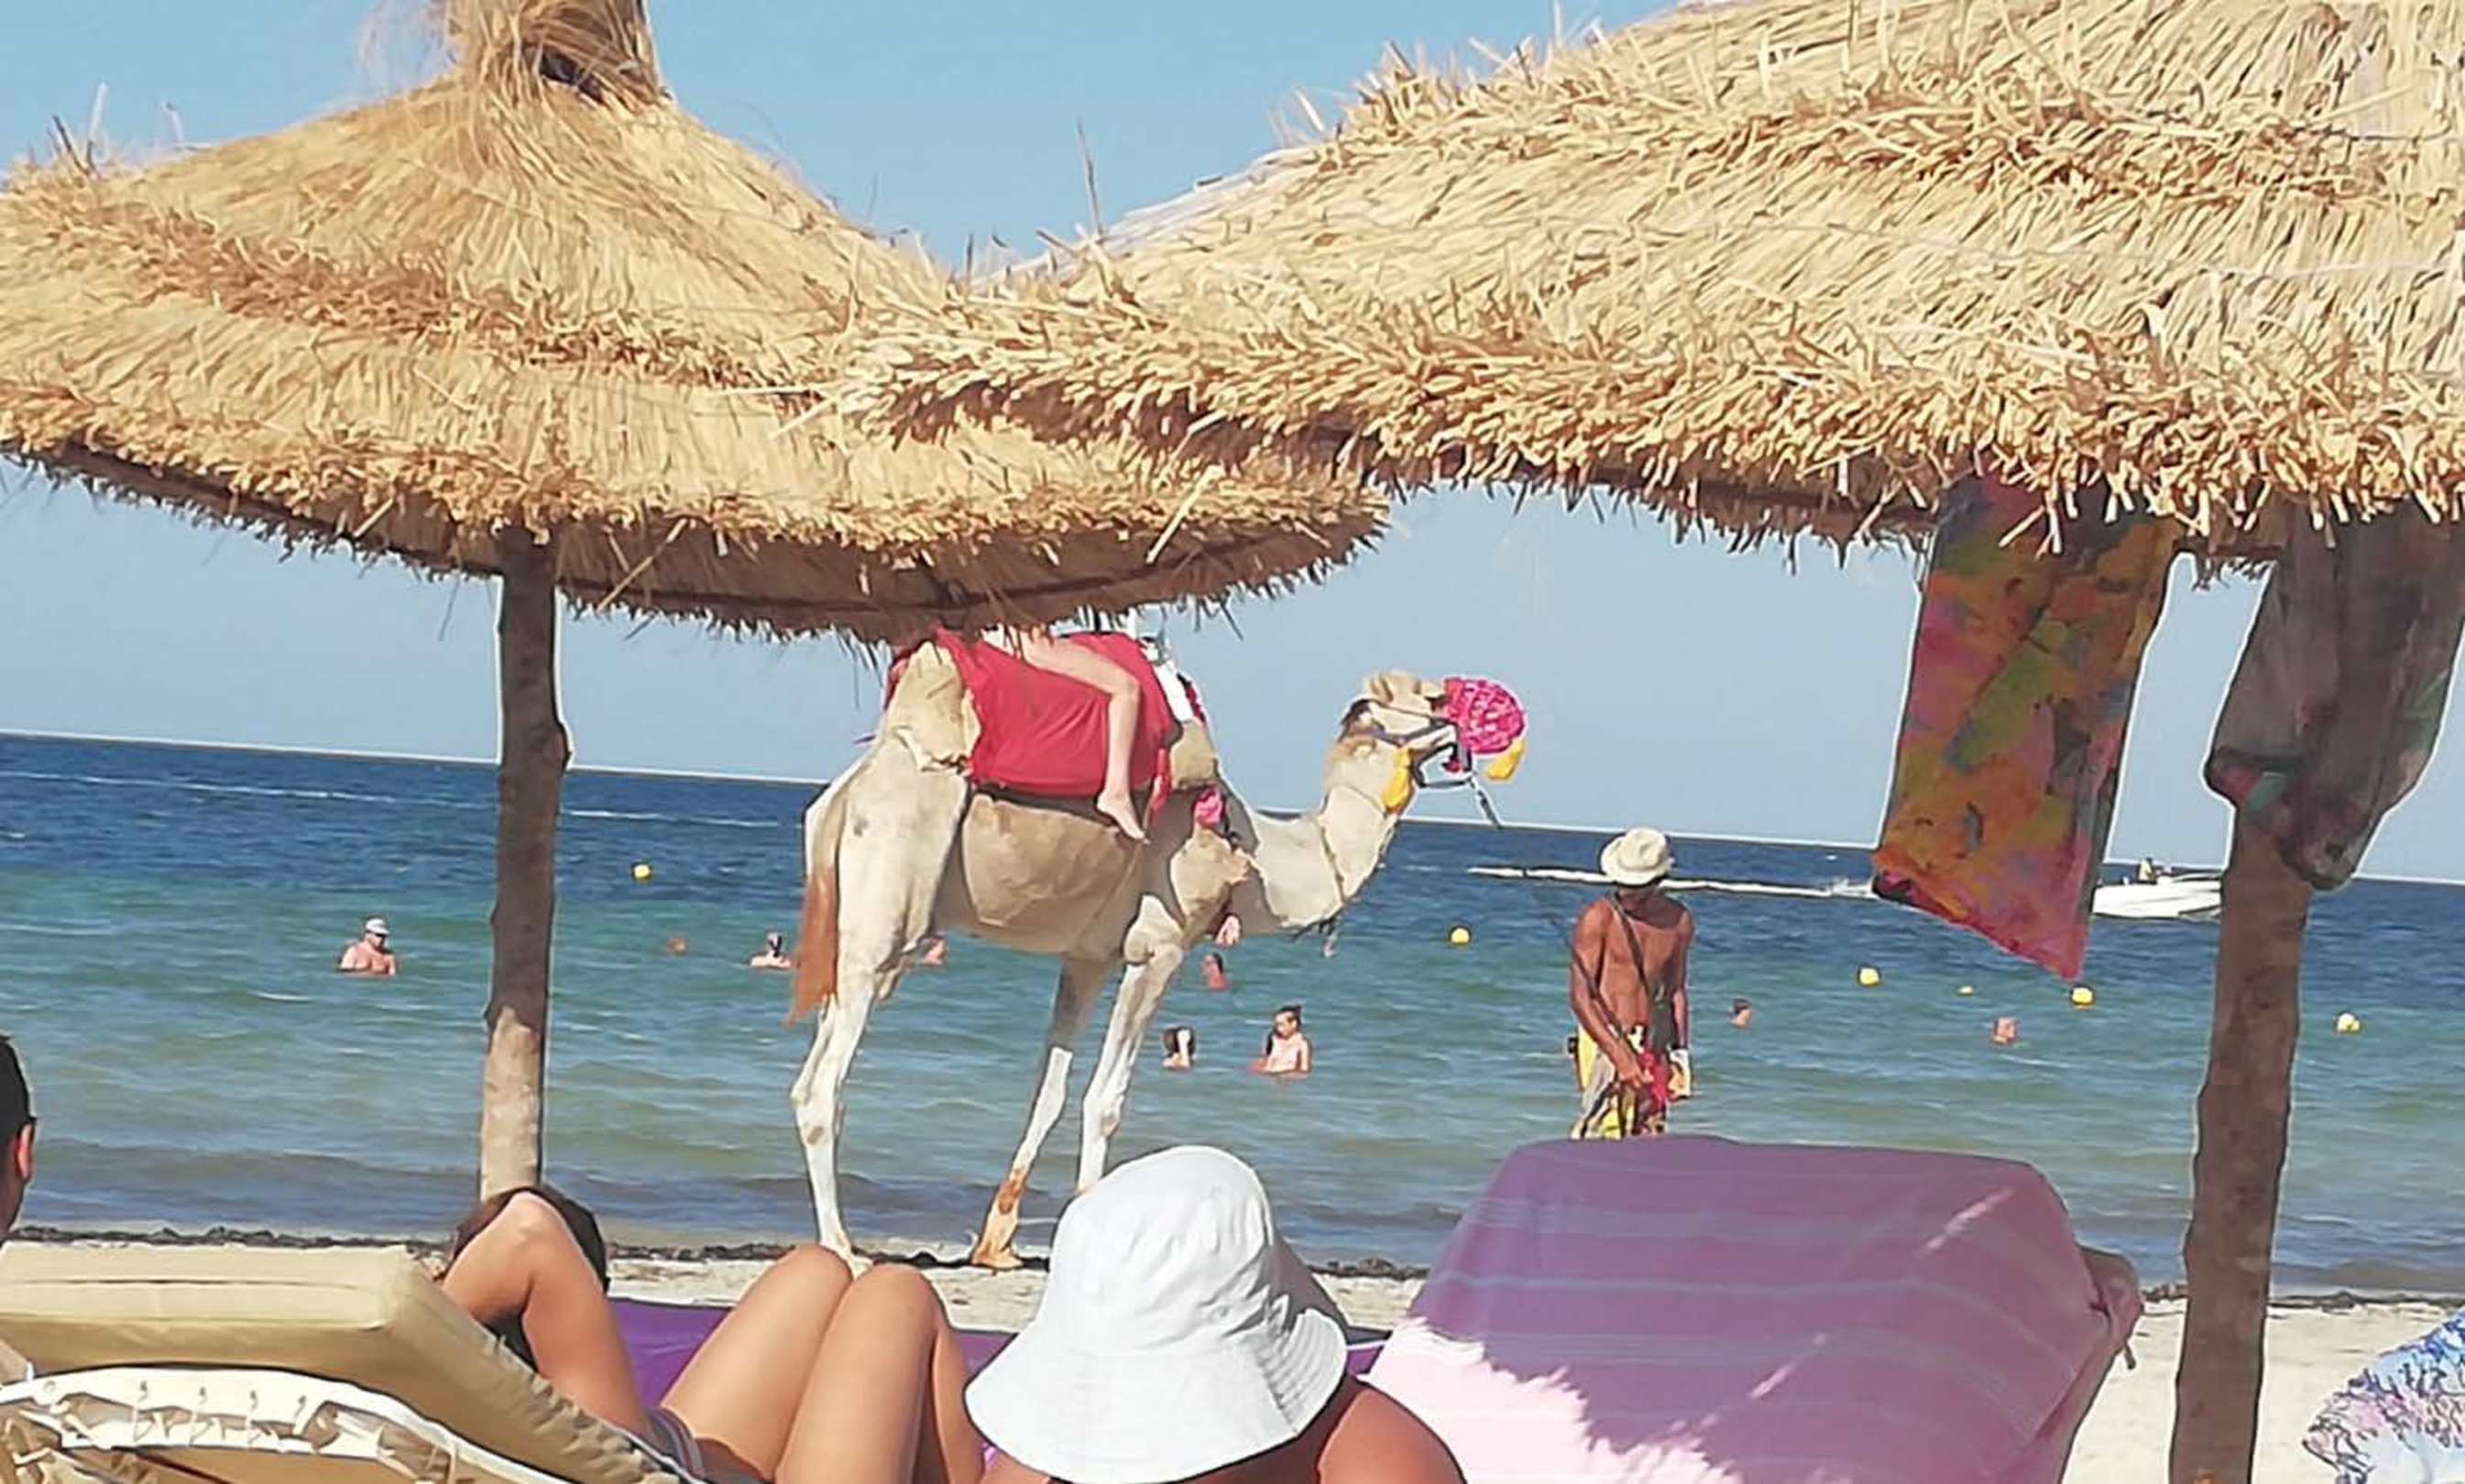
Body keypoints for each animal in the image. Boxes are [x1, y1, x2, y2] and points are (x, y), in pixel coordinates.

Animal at [786, 648, 1468, 1267]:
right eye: (1435, 698)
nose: (1472, 715)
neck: (1254, 856)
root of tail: (847, 795)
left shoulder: (1088, 960)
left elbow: (1049, 1094)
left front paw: (997, 1245)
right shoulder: (1158, 948)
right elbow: (1105, 1100)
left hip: (850, 935)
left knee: (814, 1077)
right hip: (886, 917)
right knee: (823, 1090)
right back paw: (842, 1247)